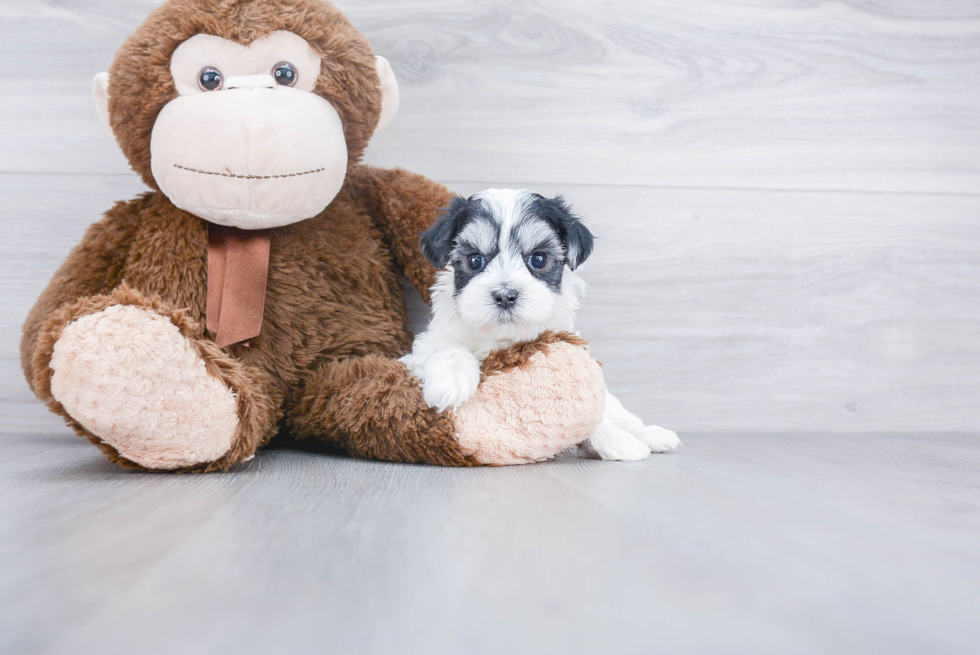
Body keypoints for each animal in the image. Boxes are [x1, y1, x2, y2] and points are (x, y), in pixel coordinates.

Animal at [402, 190, 676, 462]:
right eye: (475, 260)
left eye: (539, 259)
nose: (505, 296)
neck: (505, 339)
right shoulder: (421, 349)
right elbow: (445, 346)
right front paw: (452, 380)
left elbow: (594, 411)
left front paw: (617, 440)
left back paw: (652, 435)